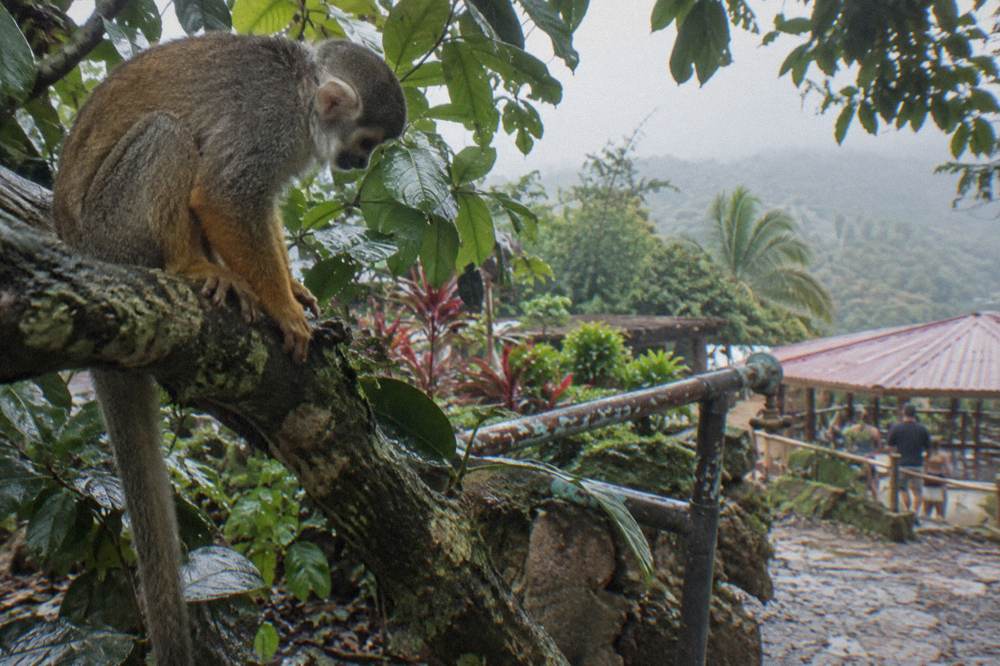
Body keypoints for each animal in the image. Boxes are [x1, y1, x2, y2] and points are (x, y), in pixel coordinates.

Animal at [51, 33, 405, 665]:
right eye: (366, 142)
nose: (361, 165)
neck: (302, 93)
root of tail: (78, 252)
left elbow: (255, 207)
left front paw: (293, 293)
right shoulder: (269, 125)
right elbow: (225, 196)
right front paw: (285, 311)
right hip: (111, 232)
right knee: (167, 134)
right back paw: (189, 266)